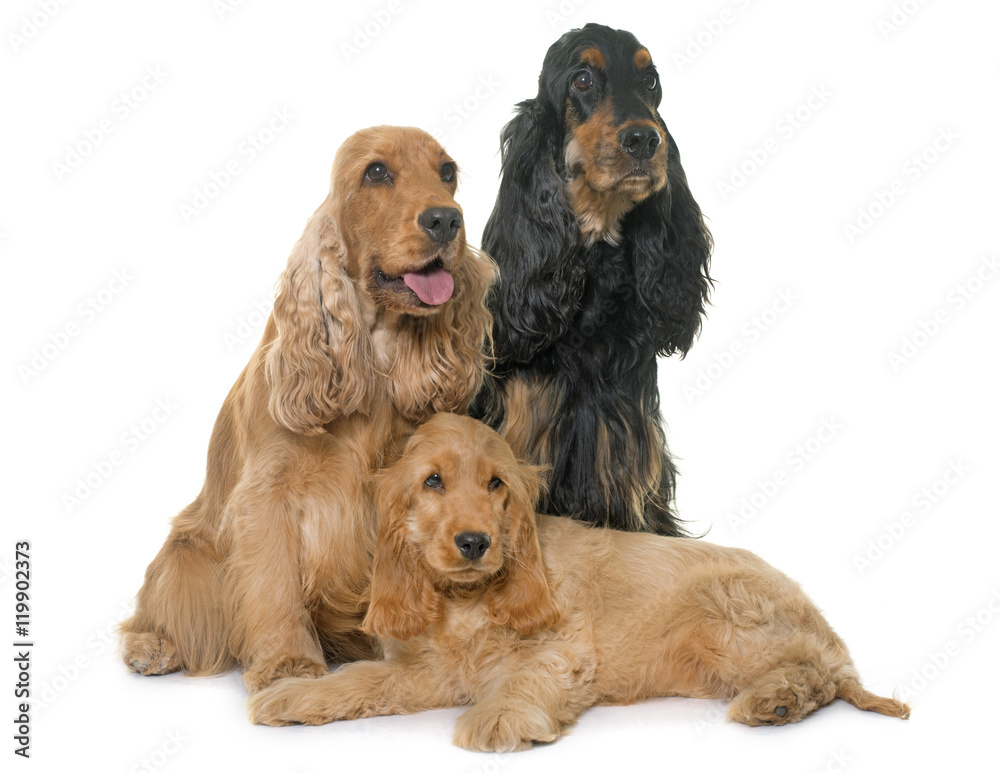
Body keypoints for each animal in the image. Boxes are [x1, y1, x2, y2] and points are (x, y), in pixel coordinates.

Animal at [121, 126, 496, 692]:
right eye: (376, 172)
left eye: (448, 172)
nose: (446, 219)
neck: (372, 354)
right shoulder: (267, 495)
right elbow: (274, 585)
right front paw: (289, 664)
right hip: (189, 557)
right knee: (160, 611)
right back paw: (153, 647)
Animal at [246, 414, 912, 752]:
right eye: (432, 481)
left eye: (496, 484)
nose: (474, 543)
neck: (467, 600)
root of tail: (825, 628)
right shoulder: (427, 672)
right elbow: (362, 681)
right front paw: (295, 696)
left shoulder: (564, 646)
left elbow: (527, 675)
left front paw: (501, 718)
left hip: (725, 614)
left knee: (819, 677)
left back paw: (774, 701)